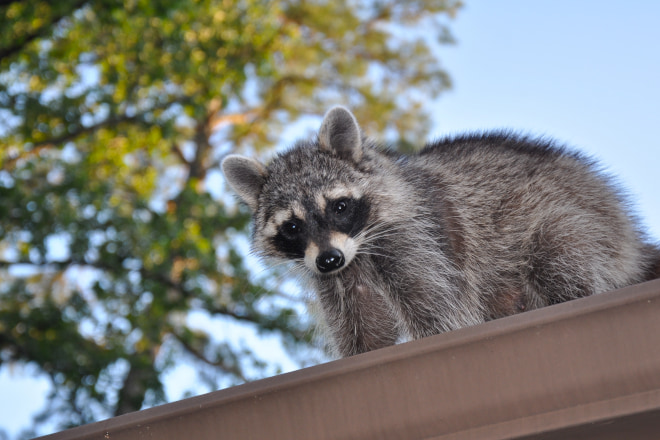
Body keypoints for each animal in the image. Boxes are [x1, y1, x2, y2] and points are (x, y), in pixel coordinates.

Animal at [222, 106, 660, 358]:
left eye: (339, 207)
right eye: (292, 226)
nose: (329, 259)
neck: (359, 247)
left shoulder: (419, 240)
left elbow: (441, 312)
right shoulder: (340, 278)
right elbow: (365, 333)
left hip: (581, 221)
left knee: (559, 253)